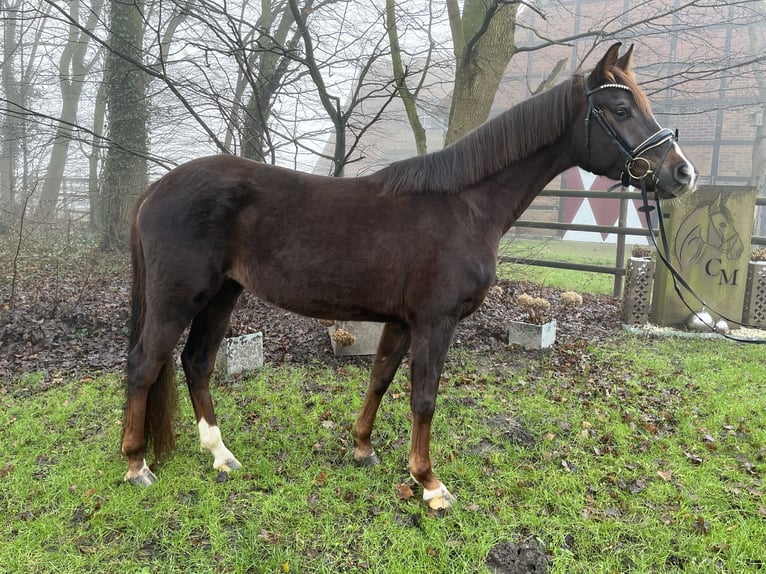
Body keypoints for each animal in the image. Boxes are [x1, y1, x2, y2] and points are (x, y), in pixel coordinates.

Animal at [124, 46, 696, 512]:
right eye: (621, 110)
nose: (682, 173)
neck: (463, 205)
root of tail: (155, 190)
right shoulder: (435, 322)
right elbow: (424, 398)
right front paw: (429, 483)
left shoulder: (400, 321)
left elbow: (379, 378)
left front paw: (362, 449)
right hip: (180, 298)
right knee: (145, 364)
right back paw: (136, 465)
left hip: (222, 294)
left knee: (197, 363)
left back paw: (220, 455)